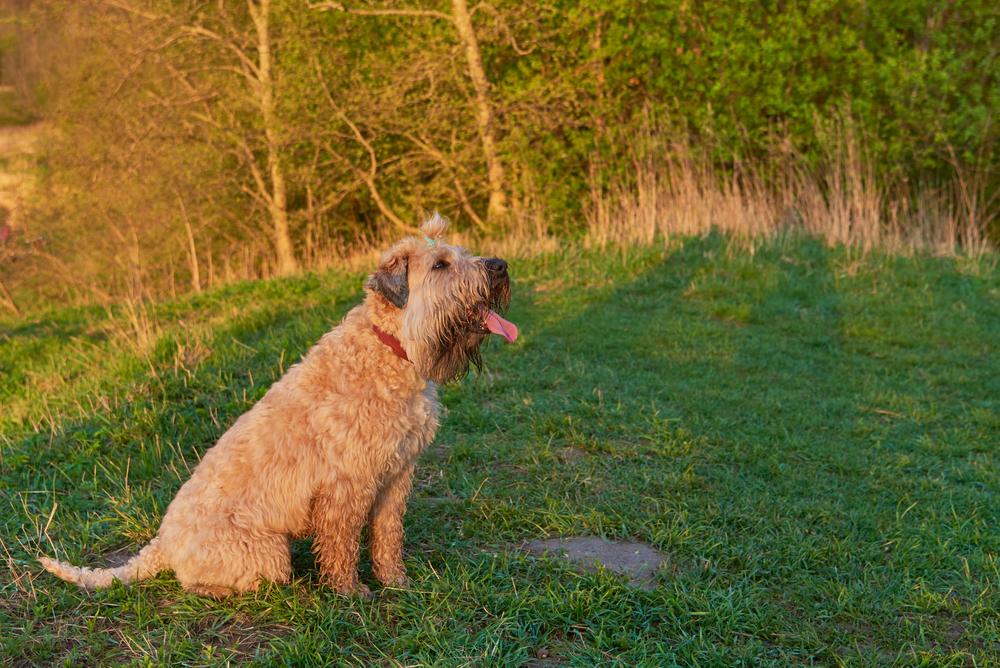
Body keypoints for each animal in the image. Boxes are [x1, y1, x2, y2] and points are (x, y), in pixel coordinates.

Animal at [38, 215, 516, 600]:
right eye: (440, 265)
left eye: (462, 255)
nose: (499, 265)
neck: (392, 351)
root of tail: (162, 543)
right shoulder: (347, 485)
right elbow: (342, 544)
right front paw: (349, 591)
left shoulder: (395, 476)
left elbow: (387, 536)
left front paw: (396, 581)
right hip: (265, 551)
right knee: (210, 581)